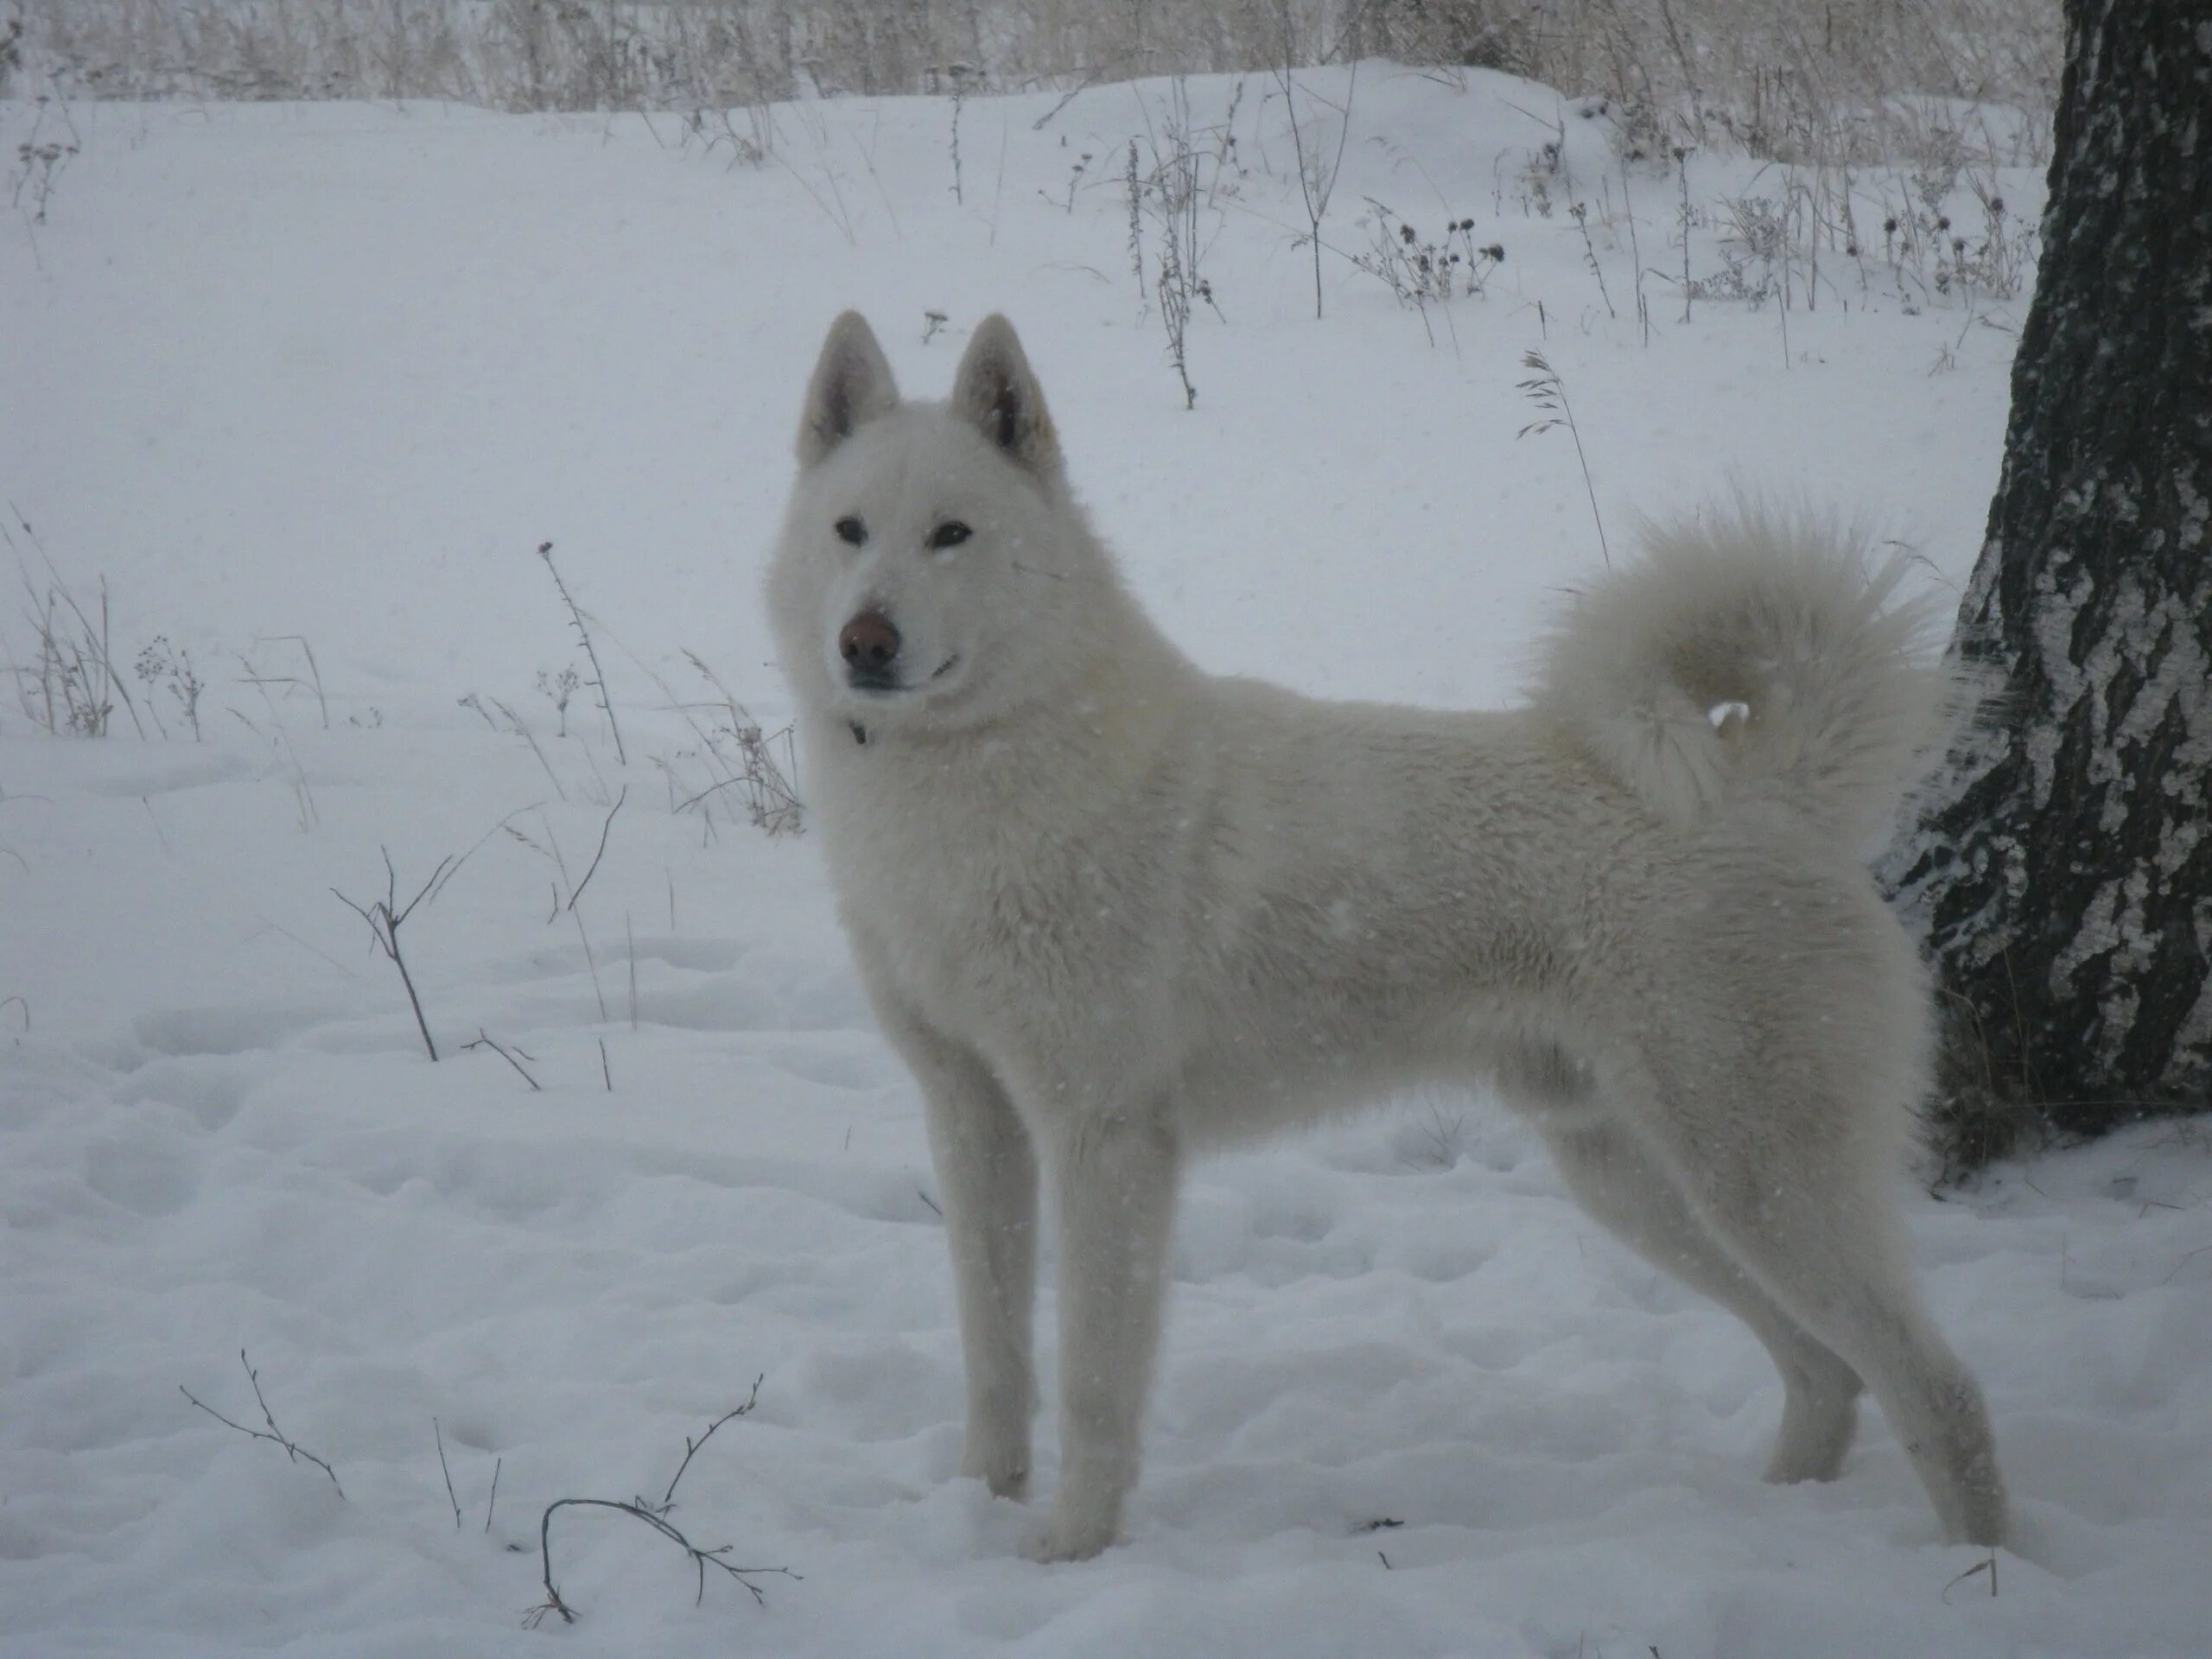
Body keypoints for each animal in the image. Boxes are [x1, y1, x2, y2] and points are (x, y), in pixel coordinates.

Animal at [769, 314, 2017, 1574]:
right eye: (850, 530)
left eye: (953, 534)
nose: (864, 642)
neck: (983, 769)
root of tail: (1772, 794)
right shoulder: (972, 1118)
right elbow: (993, 1350)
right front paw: (978, 1502)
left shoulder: (1105, 1138)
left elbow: (1092, 1380)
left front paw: (1073, 1549)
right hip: (1637, 1179)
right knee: (1826, 1371)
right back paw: (1773, 1517)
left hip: (1758, 1179)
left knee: (1941, 1389)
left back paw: (1981, 1573)